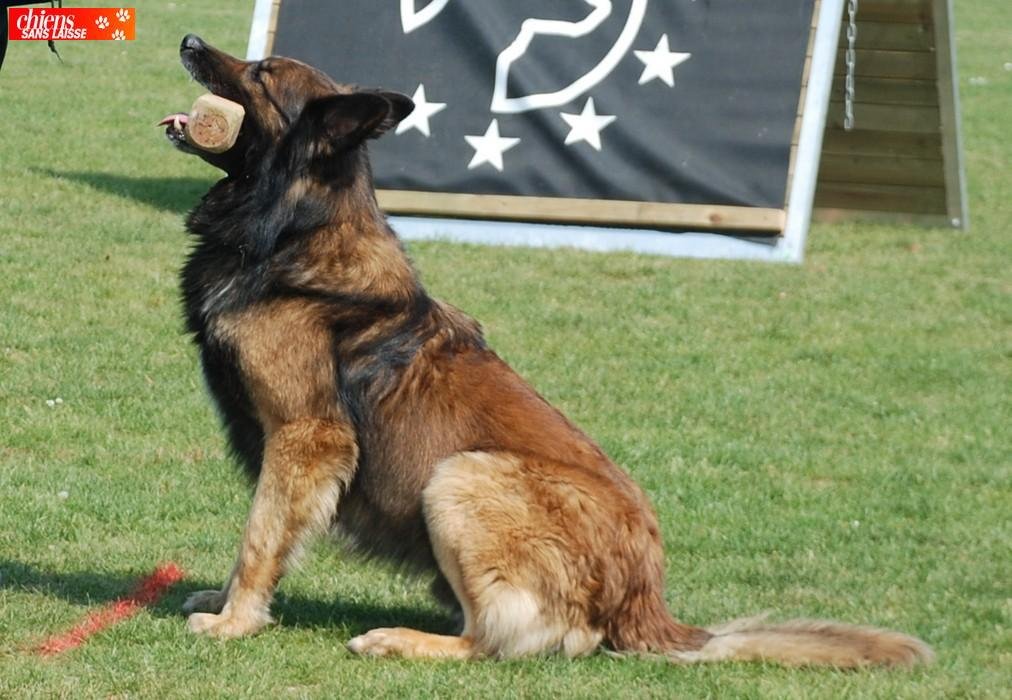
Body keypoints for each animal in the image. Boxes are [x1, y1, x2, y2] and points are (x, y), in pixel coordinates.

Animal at [162, 34, 932, 667]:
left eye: (261, 73)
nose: (190, 39)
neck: (292, 227)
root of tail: (646, 600)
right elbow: (265, 532)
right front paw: (226, 603)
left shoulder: (305, 436)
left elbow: (261, 536)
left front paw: (234, 622)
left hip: (461, 476)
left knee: (511, 638)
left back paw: (404, 640)